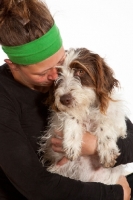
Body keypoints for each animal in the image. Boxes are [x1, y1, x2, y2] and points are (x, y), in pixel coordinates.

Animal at [39, 47, 128, 184]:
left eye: (80, 71)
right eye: (58, 75)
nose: (64, 99)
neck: (87, 109)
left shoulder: (120, 125)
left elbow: (106, 121)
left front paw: (107, 150)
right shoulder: (53, 134)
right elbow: (70, 116)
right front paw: (72, 142)